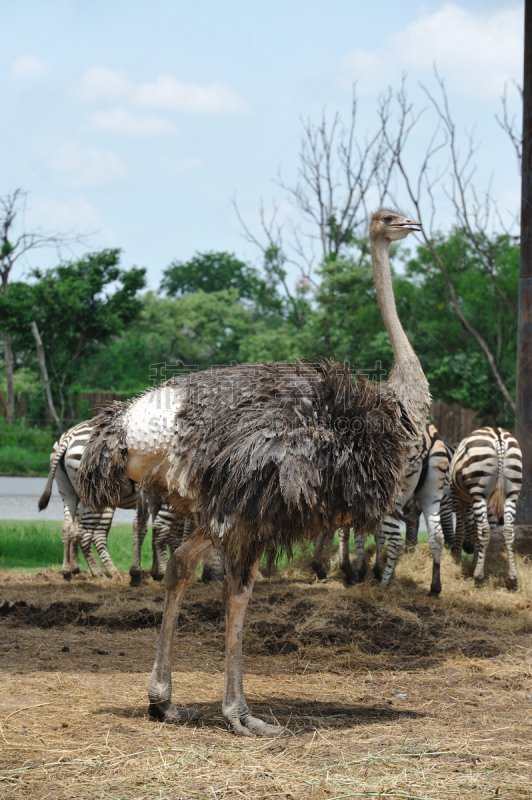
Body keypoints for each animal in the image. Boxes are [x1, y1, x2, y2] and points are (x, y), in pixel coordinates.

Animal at [448, 428, 524, 592]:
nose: (468, 549)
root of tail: (498, 435)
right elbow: (474, 529)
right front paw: (476, 560)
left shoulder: (457, 497)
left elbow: (463, 528)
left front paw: (459, 561)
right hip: (512, 492)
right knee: (508, 530)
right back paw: (512, 579)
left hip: (479, 490)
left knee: (484, 529)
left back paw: (478, 577)